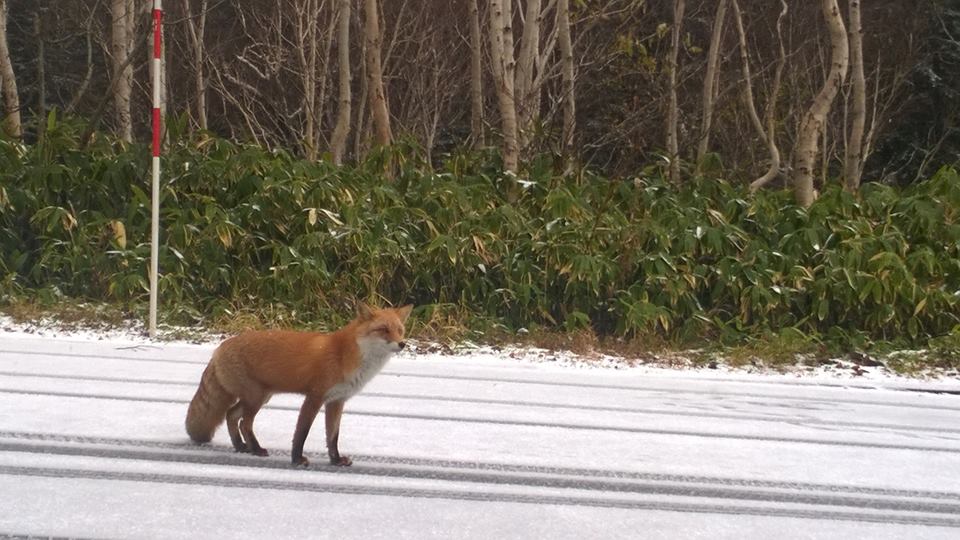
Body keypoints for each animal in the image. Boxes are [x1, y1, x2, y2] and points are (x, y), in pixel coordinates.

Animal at [187, 302, 412, 466]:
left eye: (400, 330)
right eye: (383, 329)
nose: (402, 344)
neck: (344, 355)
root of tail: (219, 348)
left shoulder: (336, 401)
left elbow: (332, 437)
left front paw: (336, 460)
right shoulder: (314, 397)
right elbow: (301, 432)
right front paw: (297, 459)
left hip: (259, 397)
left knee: (231, 414)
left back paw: (241, 447)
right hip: (256, 398)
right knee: (244, 422)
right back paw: (256, 449)